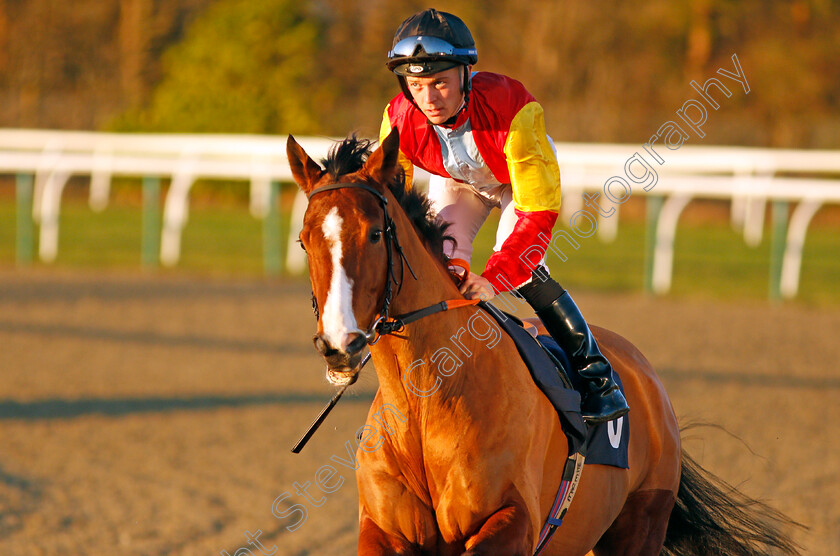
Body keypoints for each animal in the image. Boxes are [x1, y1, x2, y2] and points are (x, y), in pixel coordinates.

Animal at [288, 128, 800, 552]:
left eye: (375, 234)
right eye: (304, 239)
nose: (339, 344)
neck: (427, 404)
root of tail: (648, 379)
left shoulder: (512, 521)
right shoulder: (383, 530)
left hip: (641, 524)